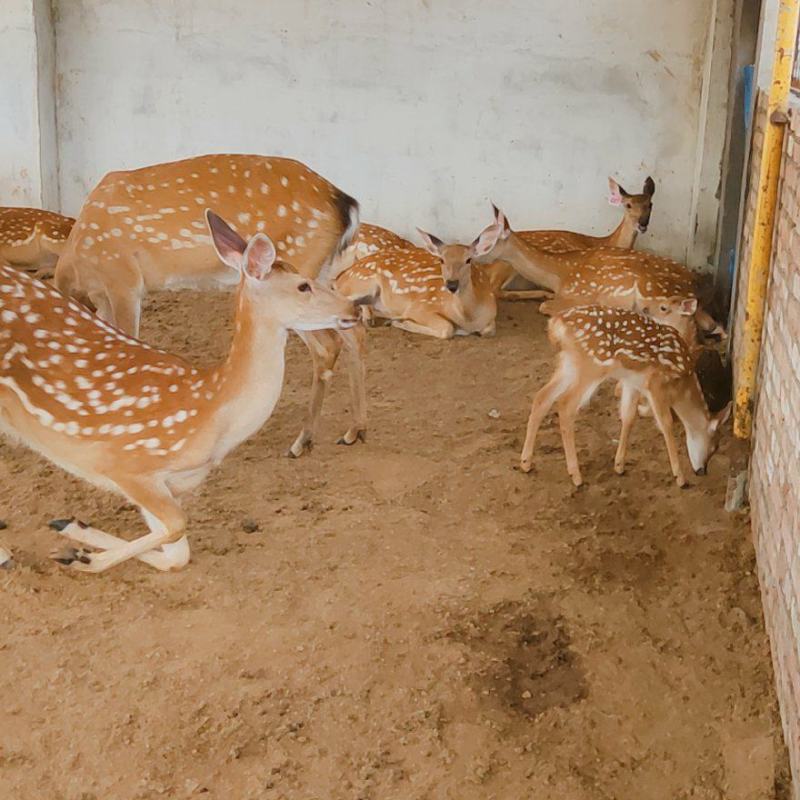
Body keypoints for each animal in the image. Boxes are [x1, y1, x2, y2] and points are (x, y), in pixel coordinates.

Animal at [0, 212, 359, 573]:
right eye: (304, 285)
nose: (354, 308)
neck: (211, 414)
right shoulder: (126, 463)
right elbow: (177, 525)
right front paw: (79, 553)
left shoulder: (167, 486)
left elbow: (177, 555)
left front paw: (73, 534)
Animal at [53, 154, 365, 457]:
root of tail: (345, 204)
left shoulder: (122, 279)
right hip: (325, 275)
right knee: (353, 328)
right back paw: (354, 431)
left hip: (301, 265)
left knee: (328, 346)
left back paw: (302, 442)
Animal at [334, 223, 511, 338]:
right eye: (441, 260)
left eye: (468, 260)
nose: (451, 284)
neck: (468, 318)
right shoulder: (420, 307)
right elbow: (447, 329)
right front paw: (400, 322)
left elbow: (488, 330)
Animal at [520, 306, 731, 488]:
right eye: (715, 446)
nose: (702, 471)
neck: (682, 385)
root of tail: (556, 324)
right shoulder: (656, 383)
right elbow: (666, 424)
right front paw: (680, 477)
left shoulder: (633, 382)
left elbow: (628, 416)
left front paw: (619, 465)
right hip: (592, 364)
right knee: (565, 405)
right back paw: (576, 476)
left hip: (569, 363)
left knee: (542, 397)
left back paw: (526, 462)